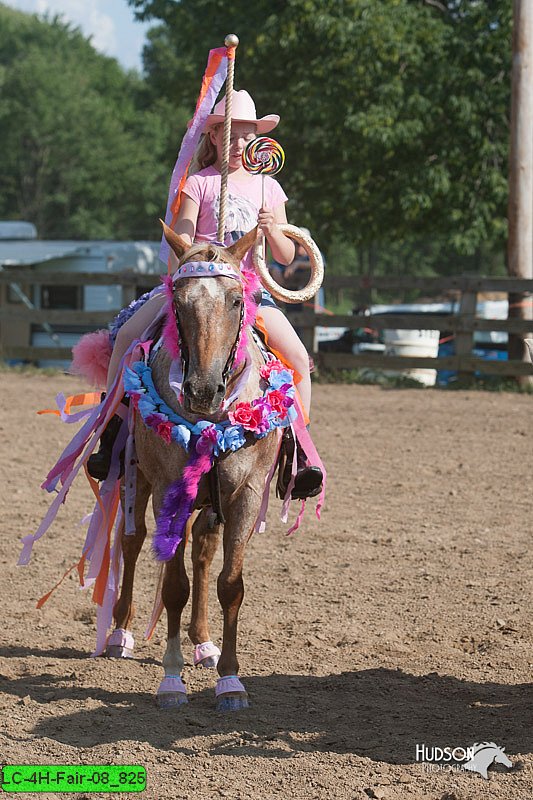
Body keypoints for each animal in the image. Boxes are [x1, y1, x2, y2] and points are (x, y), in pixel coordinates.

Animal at [106, 222, 296, 708]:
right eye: (179, 302)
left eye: (236, 301)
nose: (202, 391)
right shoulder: (169, 489)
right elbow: (174, 586)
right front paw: (171, 681)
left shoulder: (244, 495)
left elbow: (230, 584)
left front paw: (230, 680)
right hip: (137, 478)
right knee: (131, 542)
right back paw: (118, 633)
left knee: (204, 553)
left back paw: (204, 643)